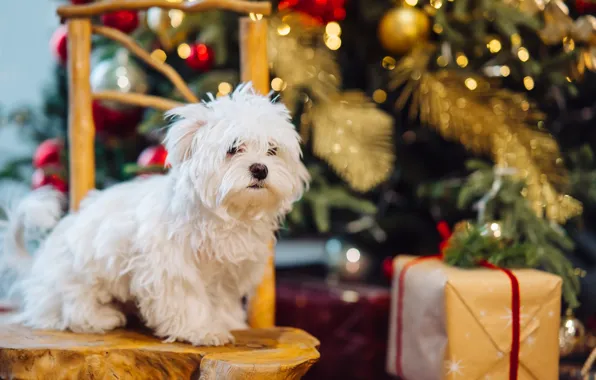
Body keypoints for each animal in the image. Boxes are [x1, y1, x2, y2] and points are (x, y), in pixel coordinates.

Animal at [1, 84, 312, 346]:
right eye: (234, 148)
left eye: (272, 150)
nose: (260, 169)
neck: (226, 214)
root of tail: (36, 267)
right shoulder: (172, 267)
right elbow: (188, 300)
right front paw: (203, 330)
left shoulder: (227, 273)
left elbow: (221, 300)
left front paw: (227, 321)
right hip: (77, 275)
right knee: (70, 307)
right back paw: (99, 317)